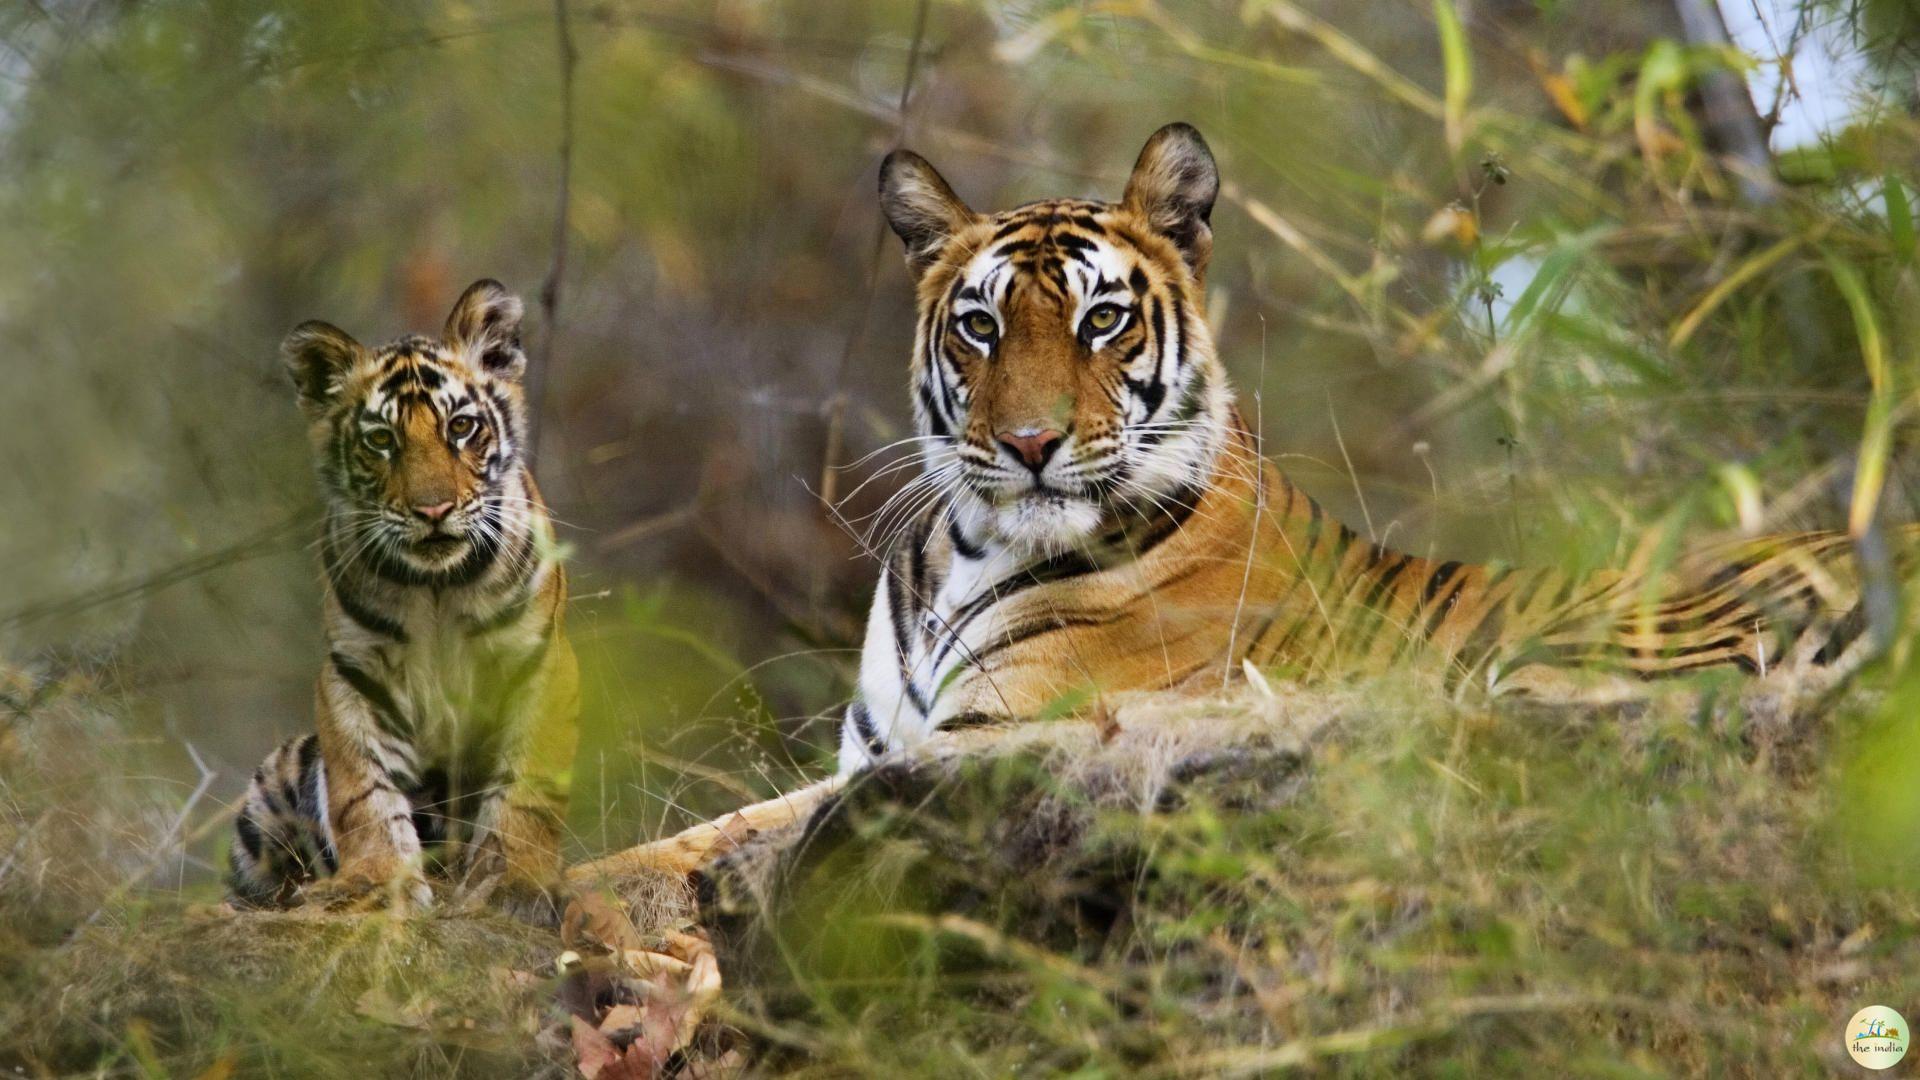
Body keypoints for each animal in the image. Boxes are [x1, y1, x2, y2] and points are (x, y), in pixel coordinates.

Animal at [230, 279, 579, 923]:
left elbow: (527, 791)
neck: (437, 587)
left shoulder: (540, 663)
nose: (433, 510)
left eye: (461, 427)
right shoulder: (354, 674)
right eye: (381, 440)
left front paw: (515, 884)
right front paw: (377, 883)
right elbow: (363, 793)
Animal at [565, 123, 1906, 907]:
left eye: (1103, 320)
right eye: (981, 325)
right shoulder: (881, 752)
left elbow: (708, 839)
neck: (967, 548)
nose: (1032, 445)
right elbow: (711, 826)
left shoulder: (977, 745)